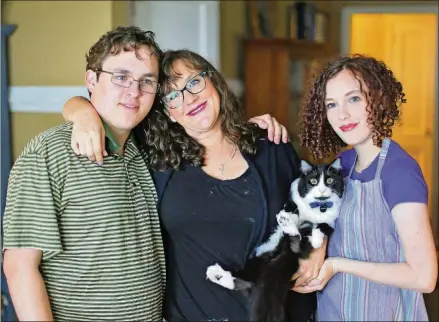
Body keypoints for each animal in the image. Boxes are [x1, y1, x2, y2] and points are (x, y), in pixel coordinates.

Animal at [205, 158, 344, 322]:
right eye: (313, 181)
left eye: (329, 181)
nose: (322, 190)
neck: (318, 206)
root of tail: (279, 257)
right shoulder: (291, 199)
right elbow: (292, 209)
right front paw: (289, 217)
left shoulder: (332, 221)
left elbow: (323, 226)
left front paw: (316, 239)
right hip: (260, 259)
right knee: (245, 279)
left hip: (283, 254)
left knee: (298, 244)